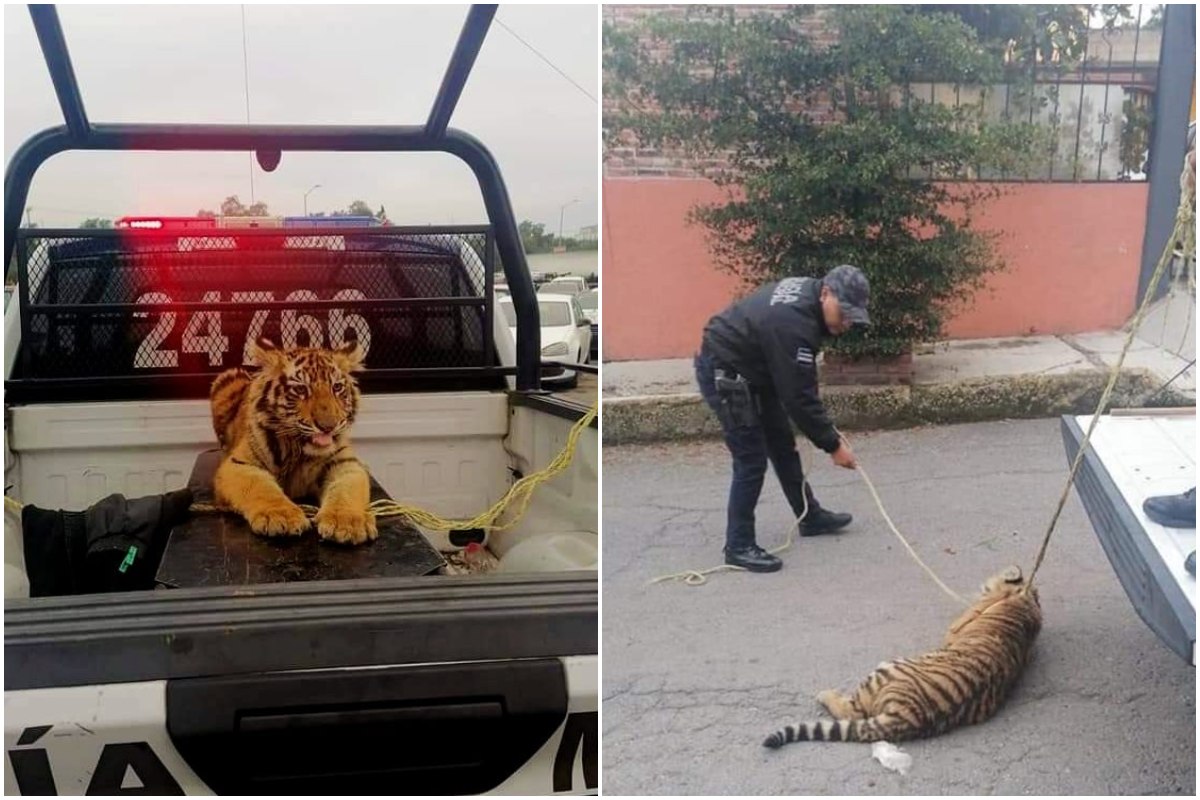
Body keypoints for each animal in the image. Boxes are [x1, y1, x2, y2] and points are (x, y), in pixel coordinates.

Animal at [207, 335, 374, 546]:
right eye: (301, 389)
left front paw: (346, 522)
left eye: (337, 387)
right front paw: (281, 517)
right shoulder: (239, 464)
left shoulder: (345, 464)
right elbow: (261, 487)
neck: (300, 450)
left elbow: (345, 490)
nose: (328, 426)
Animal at [768, 566, 1041, 748]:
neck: (1025, 596)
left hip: (884, 669)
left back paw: (825, 694)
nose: (983, 582)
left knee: (852, 713)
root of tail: (908, 716)